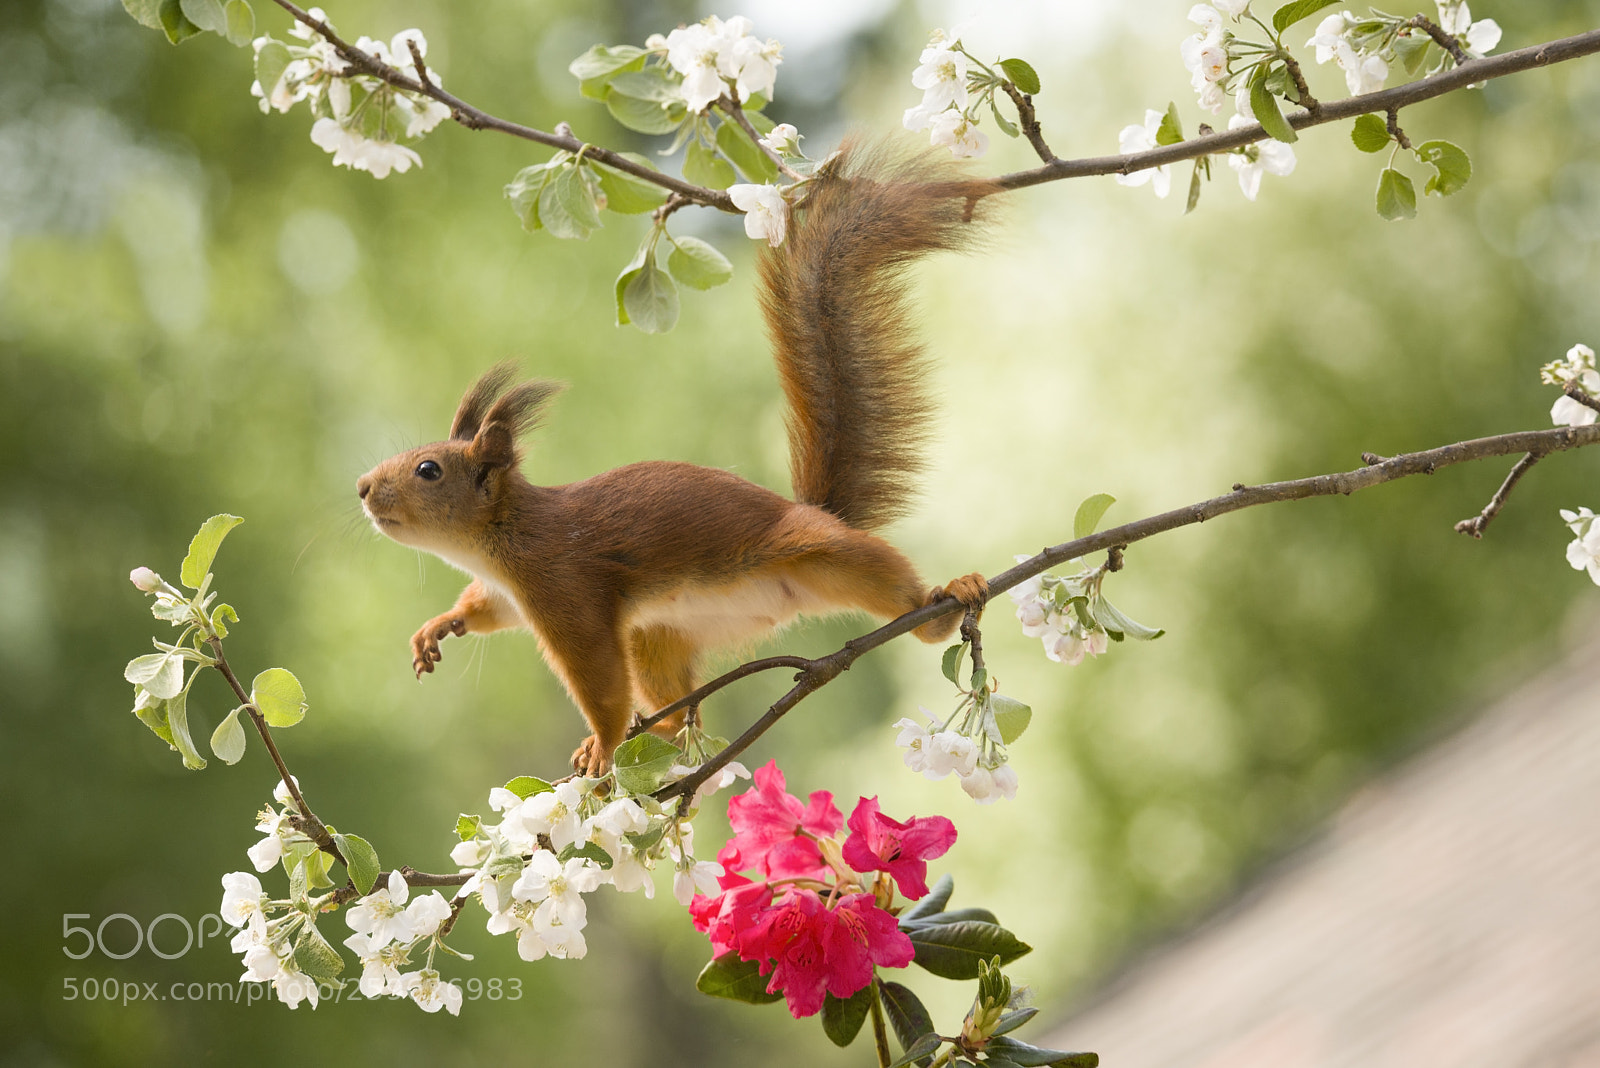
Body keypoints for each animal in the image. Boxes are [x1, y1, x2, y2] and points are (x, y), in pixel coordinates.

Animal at [356, 140, 993, 776]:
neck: (499, 538)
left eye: (428, 470)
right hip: (658, 635)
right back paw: (663, 728)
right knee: (683, 711)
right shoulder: (511, 594)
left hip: (818, 552)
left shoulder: (562, 585)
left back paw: (947, 600)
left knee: (886, 580)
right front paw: (444, 625)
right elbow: (488, 608)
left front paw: (603, 744)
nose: (362, 486)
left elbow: (598, 679)